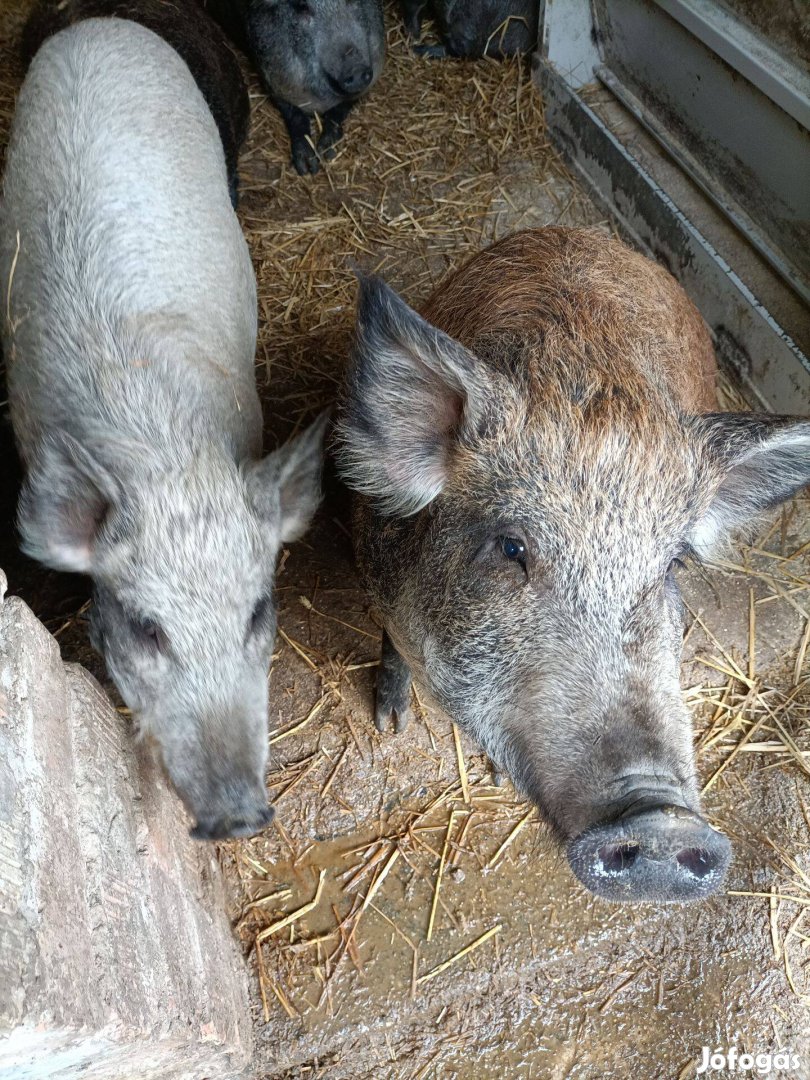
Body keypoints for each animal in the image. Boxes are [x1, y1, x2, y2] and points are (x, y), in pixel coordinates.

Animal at [199, 0, 384, 173]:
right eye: (302, 7)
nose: (356, 69)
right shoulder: (273, 80)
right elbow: (294, 115)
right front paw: (307, 167)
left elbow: (339, 111)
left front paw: (327, 153)